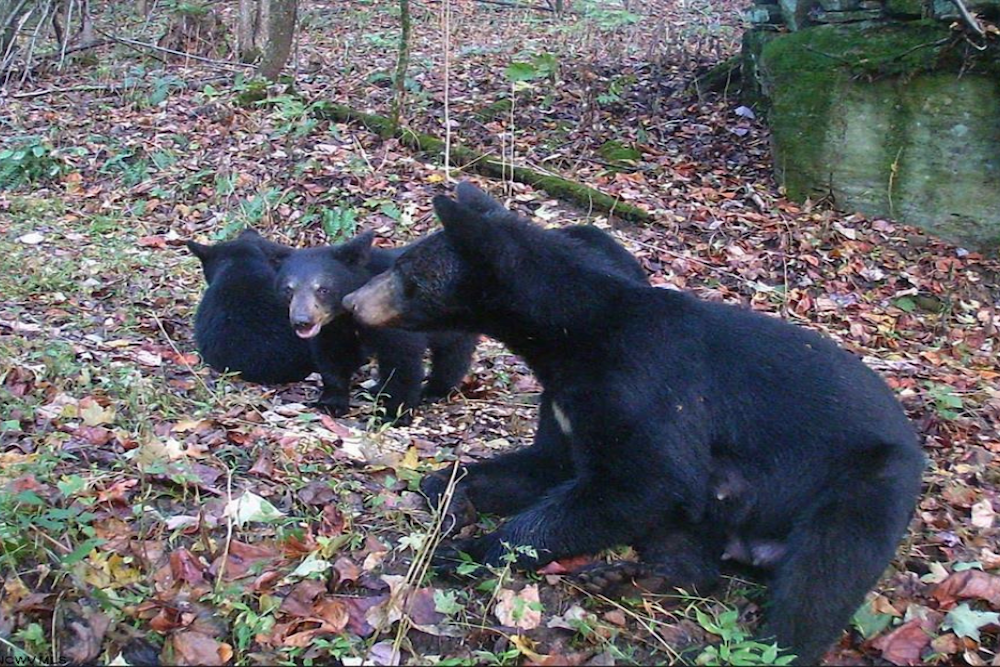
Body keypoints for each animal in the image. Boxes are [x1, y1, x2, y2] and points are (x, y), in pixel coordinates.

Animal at [274, 231, 477, 423]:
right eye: (288, 289)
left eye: (323, 289)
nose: (302, 321)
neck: (346, 314)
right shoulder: (334, 328)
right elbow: (333, 357)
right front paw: (331, 403)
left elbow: (403, 362)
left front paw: (394, 415)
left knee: (453, 353)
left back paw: (435, 390)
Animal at [341, 182, 925, 665]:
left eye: (406, 273)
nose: (349, 301)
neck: (573, 335)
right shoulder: (568, 399)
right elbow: (551, 463)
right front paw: (453, 494)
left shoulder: (645, 380)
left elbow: (642, 479)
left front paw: (473, 549)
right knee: (694, 553)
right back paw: (627, 575)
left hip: (868, 483)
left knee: (825, 572)